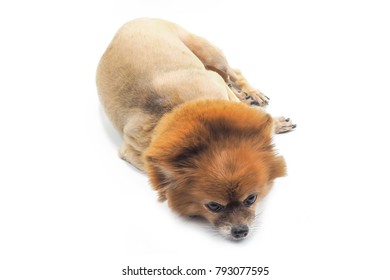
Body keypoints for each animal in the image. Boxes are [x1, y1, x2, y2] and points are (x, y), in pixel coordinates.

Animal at [97, 17, 296, 241]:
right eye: (214, 206)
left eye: (250, 198)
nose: (239, 231)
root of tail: (136, 19)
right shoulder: (134, 152)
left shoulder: (217, 86)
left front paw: (272, 121)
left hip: (211, 54)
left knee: (234, 73)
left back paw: (252, 93)